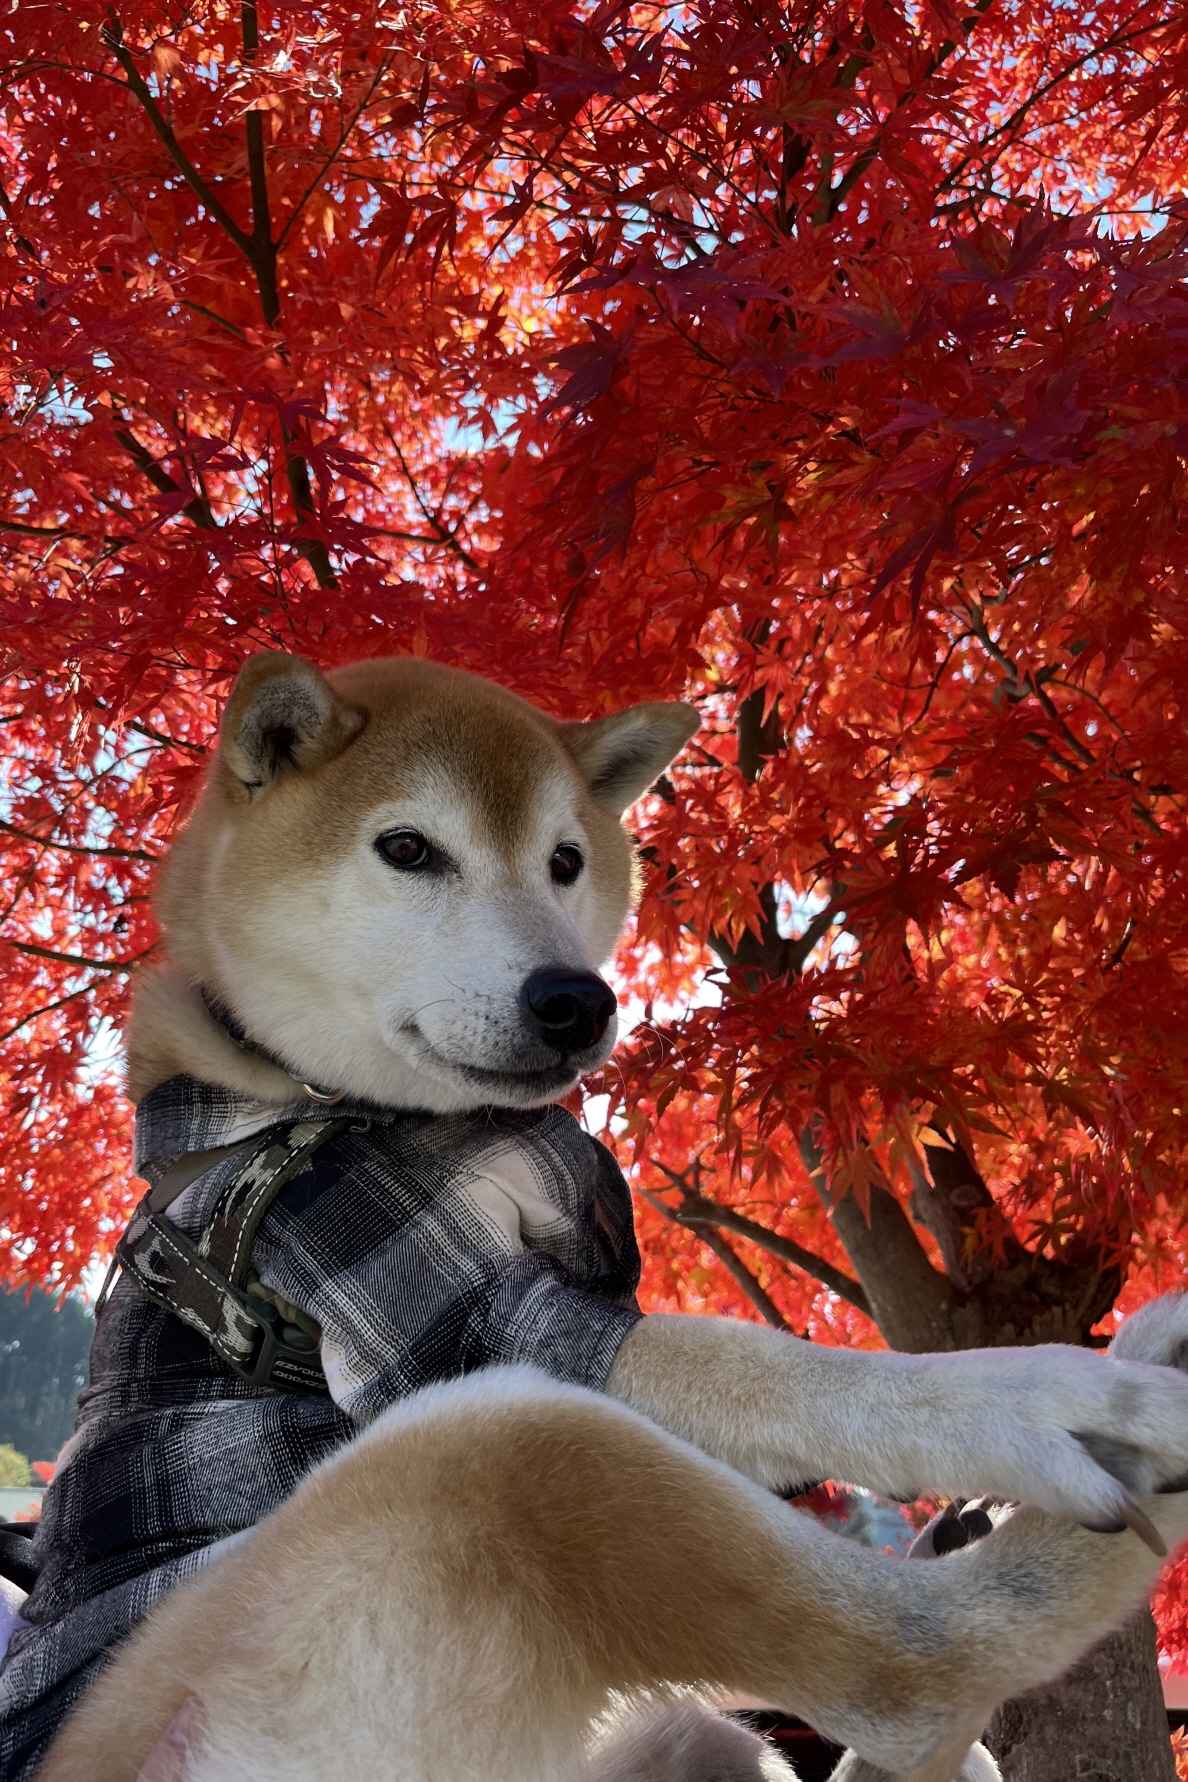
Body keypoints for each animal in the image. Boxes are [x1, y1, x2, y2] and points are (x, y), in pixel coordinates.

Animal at [34, 655, 1188, 1782]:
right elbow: (791, 1375)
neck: (310, 1097)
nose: (576, 1000)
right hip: (487, 1452)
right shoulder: (412, 1283)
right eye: (406, 849)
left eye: (566, 861)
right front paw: (1036, 1401)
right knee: (919, 1674)